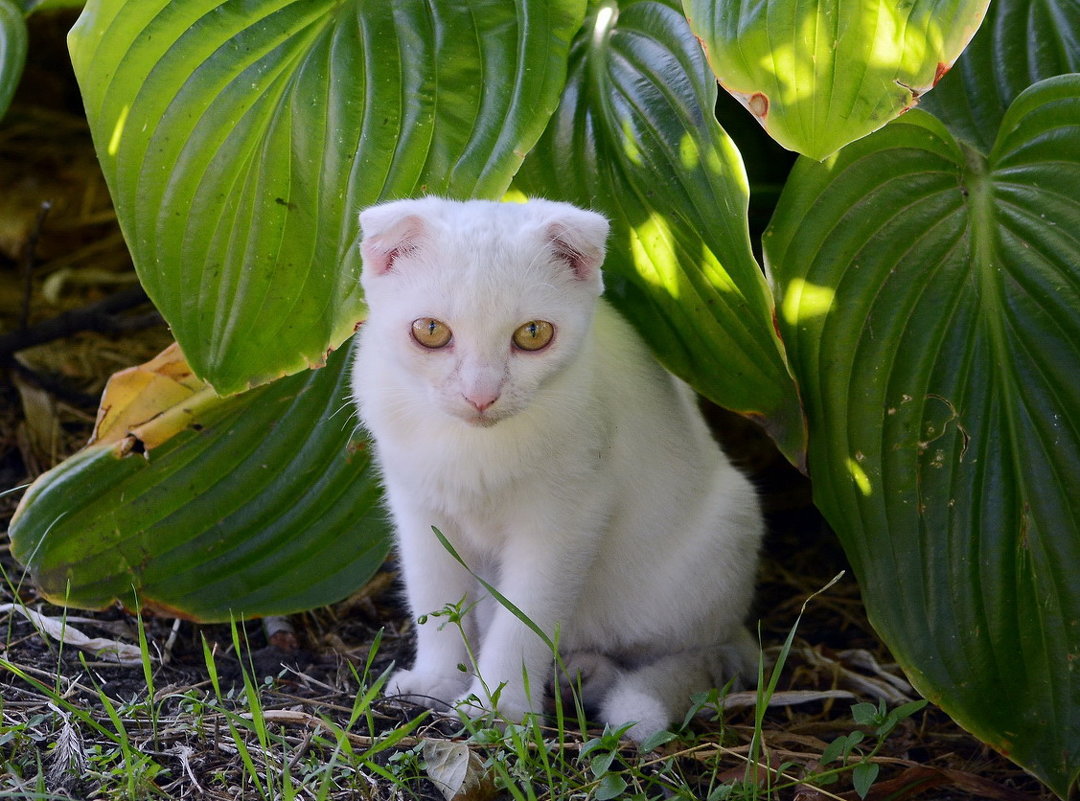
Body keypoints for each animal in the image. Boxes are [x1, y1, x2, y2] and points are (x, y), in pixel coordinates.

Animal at [349, 197, 764, 742]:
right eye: (431, 331)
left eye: (533, 334)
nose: (481, 395)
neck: (472, 448)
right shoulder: (418, 507)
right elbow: (432, 592)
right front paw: (436, 680)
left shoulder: (565, 520)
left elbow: (525, 616)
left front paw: (496, 706)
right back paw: (581, 673)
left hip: (724, 534)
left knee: (707, 651)